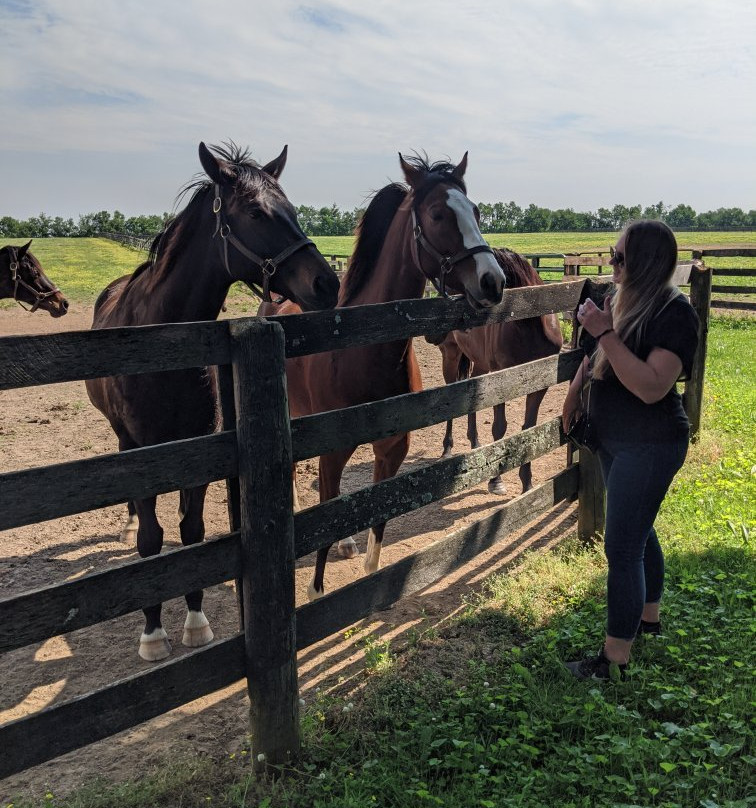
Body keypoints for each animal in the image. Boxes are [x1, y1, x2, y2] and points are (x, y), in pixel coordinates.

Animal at [85, 141, 340, 661]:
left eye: (292, 207)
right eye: (256, 212)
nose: (327, 283)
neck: (161, 346)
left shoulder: (202, 447)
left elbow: (193, 533)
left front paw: (195, 622)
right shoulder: (145, 454)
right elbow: (151, 541)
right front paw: (153, 634)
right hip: (123, 440)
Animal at [259, 152, 506, 599]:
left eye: (477, 211)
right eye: (439, 213)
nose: (493, 280)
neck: (363, 351)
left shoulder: (392, 449)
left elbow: (376, 518)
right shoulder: (333, 451)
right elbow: (328, 515)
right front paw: (316, 591)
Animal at [428, 247, 563, 494]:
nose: (430, 332)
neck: (530, 326)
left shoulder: (540, 383)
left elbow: (529, 429)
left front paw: (527, 483)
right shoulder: (502, 380)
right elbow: (499, 429)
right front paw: (496, 480)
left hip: (480, 365)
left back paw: (475, 443)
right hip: (450, 356)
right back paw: (447, 449)